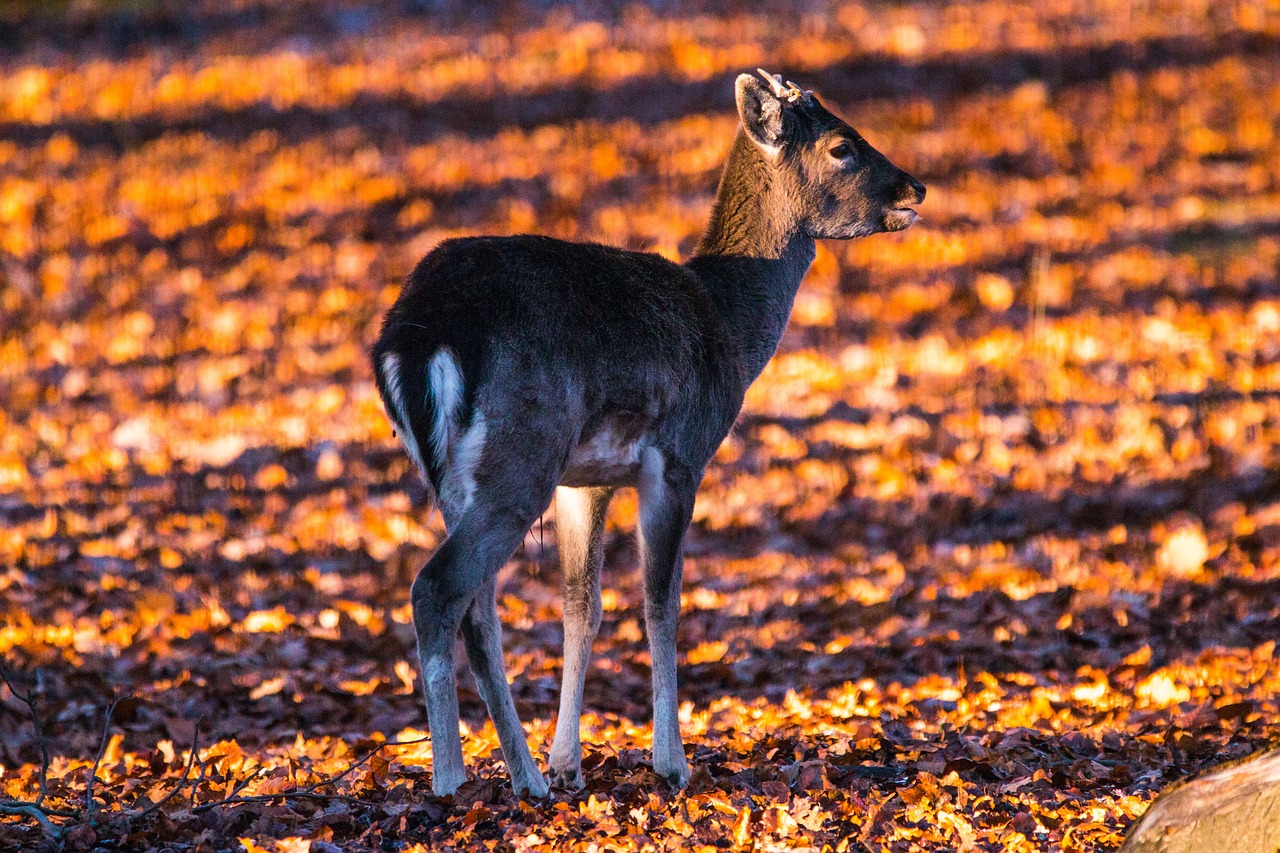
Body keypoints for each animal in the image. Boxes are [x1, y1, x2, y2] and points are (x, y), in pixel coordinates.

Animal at [371, 68, 921, 799]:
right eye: (841, 147)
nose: (915, 188)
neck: (729, 326)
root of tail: (416, 337)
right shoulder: (680, 454)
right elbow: (662, 602)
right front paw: (672, 762)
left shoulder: (585, 481)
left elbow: (583, 606)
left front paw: (569, 762)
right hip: (522, 453)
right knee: (437, 587)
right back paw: (457, 778)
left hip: (461, 476)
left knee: (476, 607)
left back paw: (525, 772)